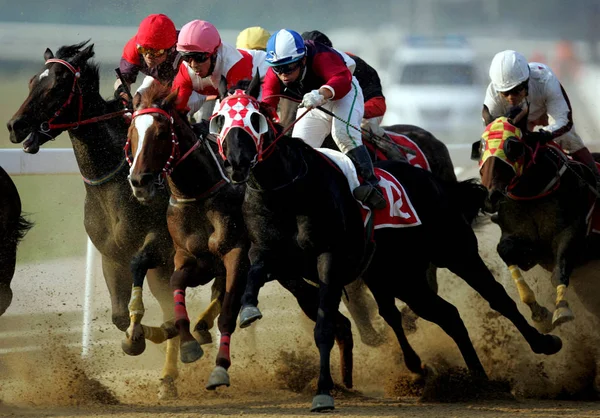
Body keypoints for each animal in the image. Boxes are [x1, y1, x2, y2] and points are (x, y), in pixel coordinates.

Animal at [6, 41, 195, 398]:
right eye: (32, 81)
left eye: (57, 86)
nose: (15, 125)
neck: (115, 183)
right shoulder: (111, 255)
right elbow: (120, 317)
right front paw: (136, 338)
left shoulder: (160, 243)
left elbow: (142, 267)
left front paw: (144, 336)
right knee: (169, 305)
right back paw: (168, 378)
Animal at [125, 84, 354, 392]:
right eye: (131, 133)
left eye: (161, 133)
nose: (139, 181)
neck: (200, 194)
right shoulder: (187, 257)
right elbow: (176, 284)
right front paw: (187, 343)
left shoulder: (235, 255)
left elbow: (228, 311)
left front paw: (219, 368)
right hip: (291, 274)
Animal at [214, 77, 564, 412]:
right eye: (219, 119)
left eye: (255, 117)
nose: (237, 163)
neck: (288, 190)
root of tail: (440, 184)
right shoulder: (269, 253)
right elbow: (255, 274)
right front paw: (247, 311)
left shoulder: (329, 259)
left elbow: (325, 326)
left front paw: (324, 393)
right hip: (399, 275)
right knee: (445, 314)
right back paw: (476, 381)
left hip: (455, 252)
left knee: (497, 298)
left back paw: (543, 343)